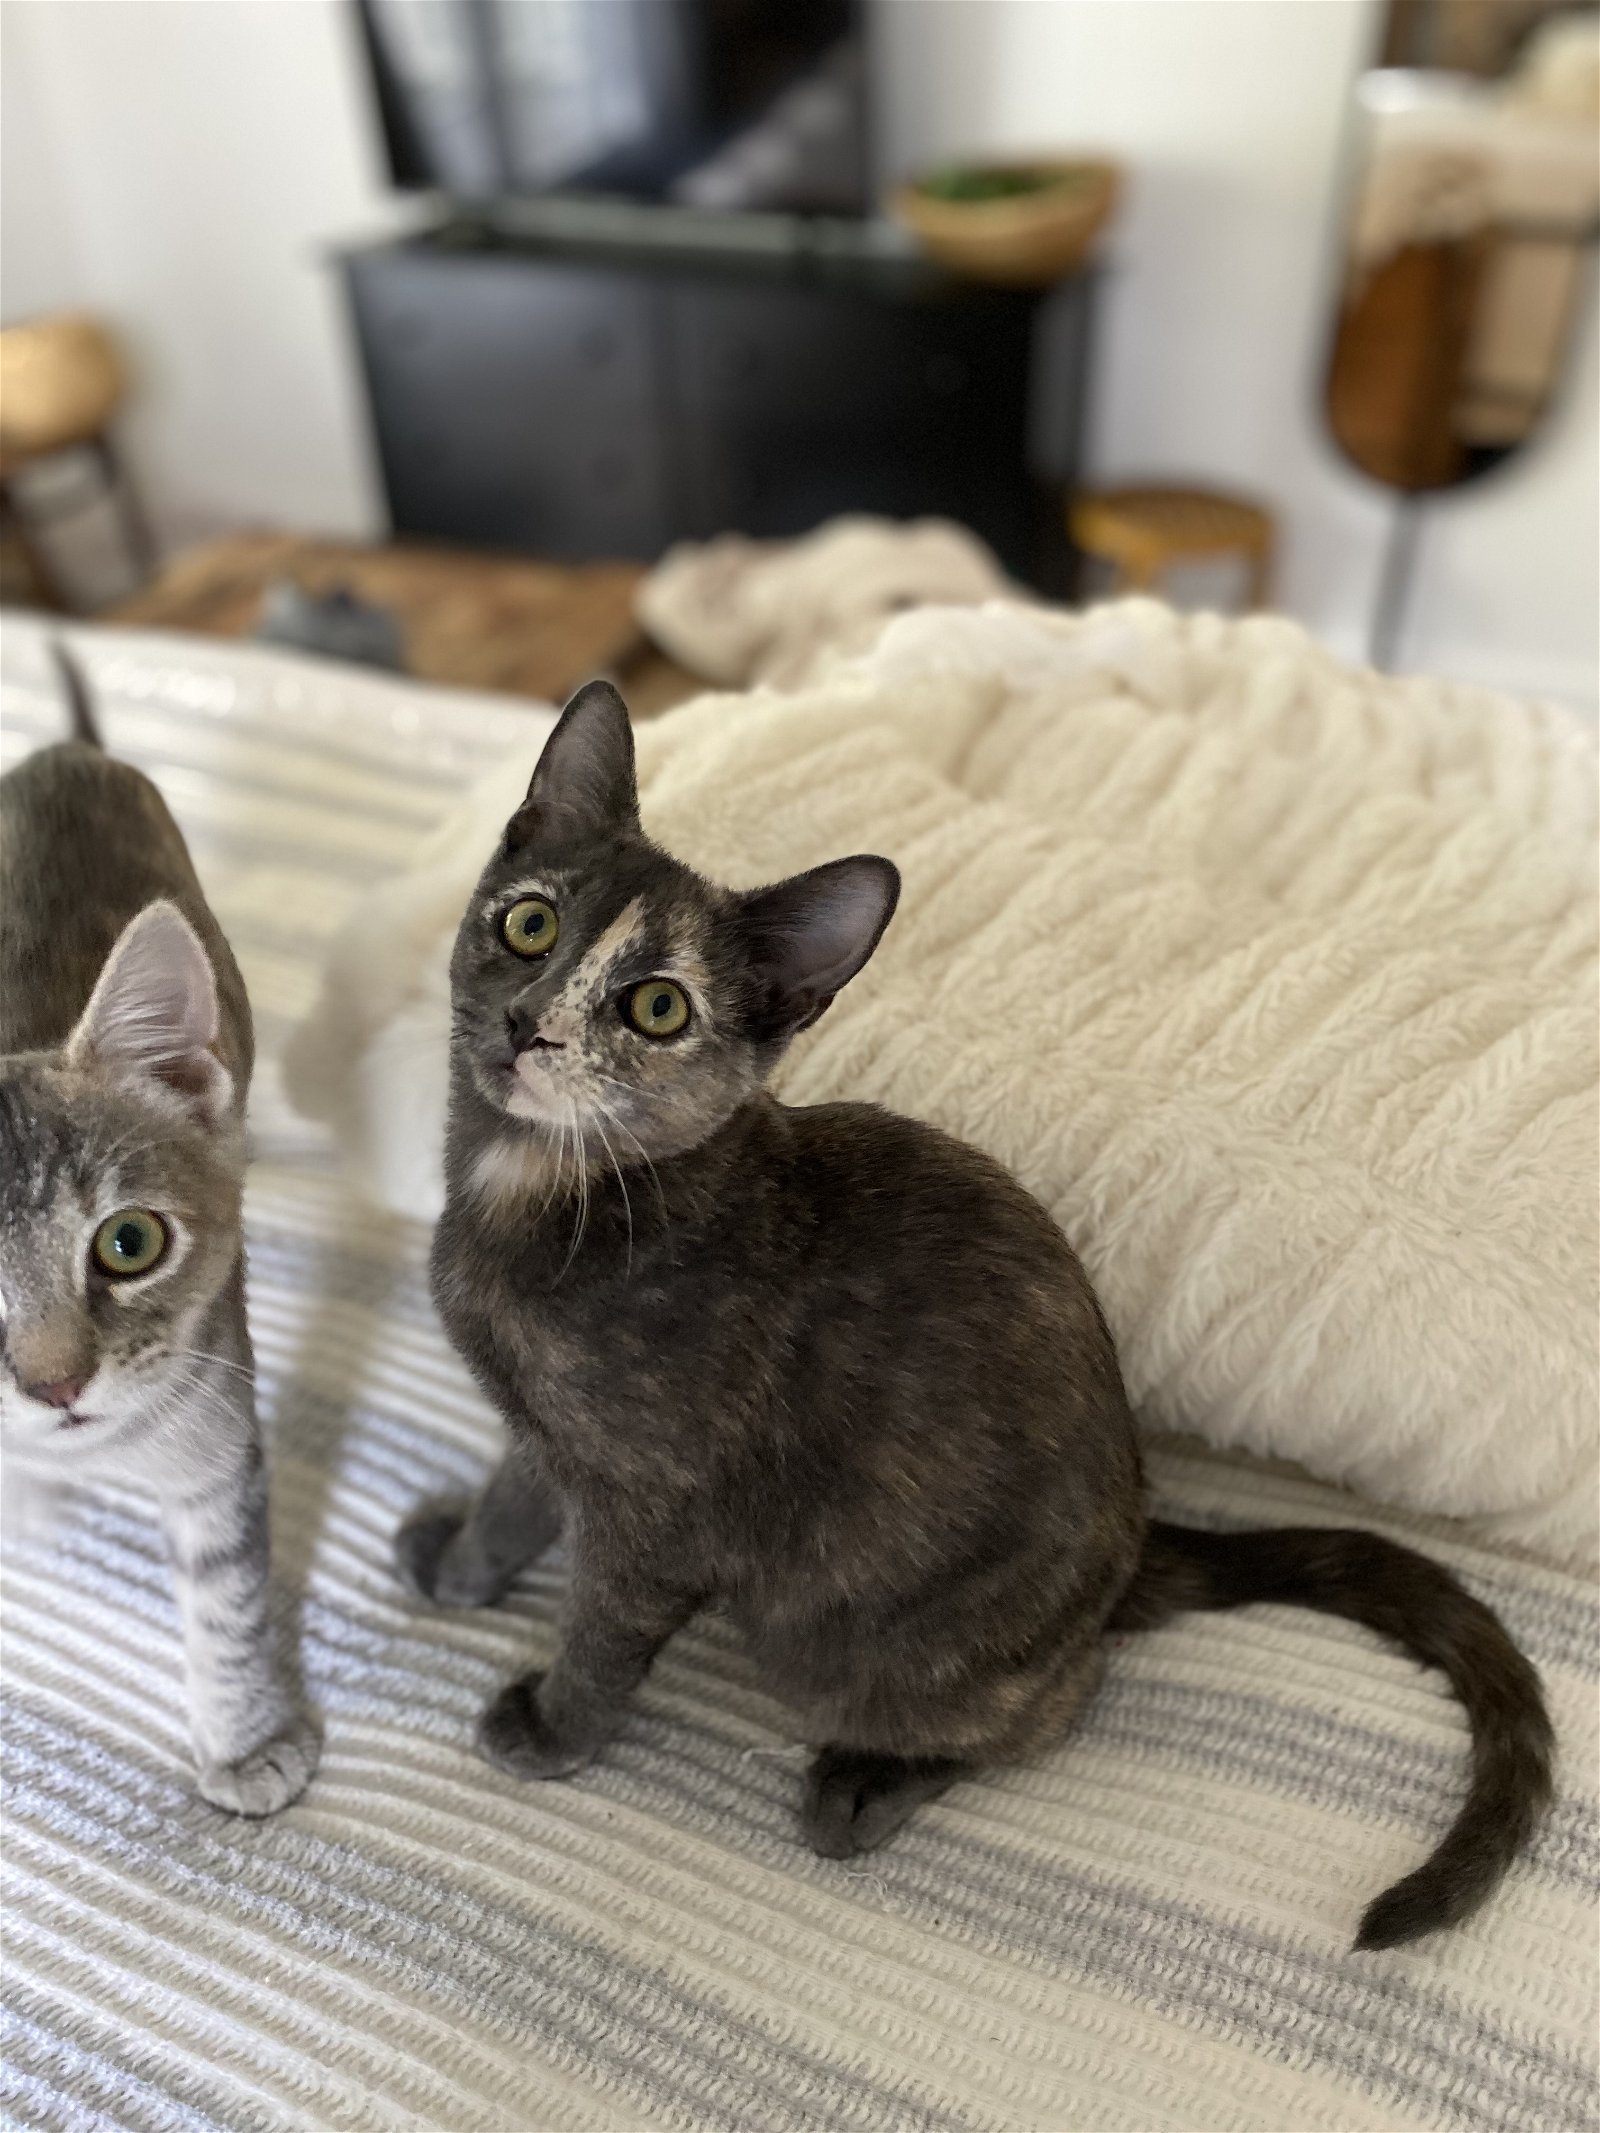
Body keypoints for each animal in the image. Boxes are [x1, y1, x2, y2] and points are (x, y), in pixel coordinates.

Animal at [0, 648, 320, 1817]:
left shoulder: (217, 1433)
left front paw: (244, 1741)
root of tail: (65, 748)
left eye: (127, 1244)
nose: (54, 1385)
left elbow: (227, 1603)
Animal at [407, 682, 1561, 1953]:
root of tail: (1131, 1552)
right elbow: (515, 1499)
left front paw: (550, 1731)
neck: (529, 1191)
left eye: (657, 1008)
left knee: (1049, 1709)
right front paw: (460, 1565)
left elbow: (604, 1638)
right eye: (529, 926)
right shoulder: (544, 1429)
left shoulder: (654, 1512)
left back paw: (865, 1785)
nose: (530, 1024)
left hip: (835, 1647)